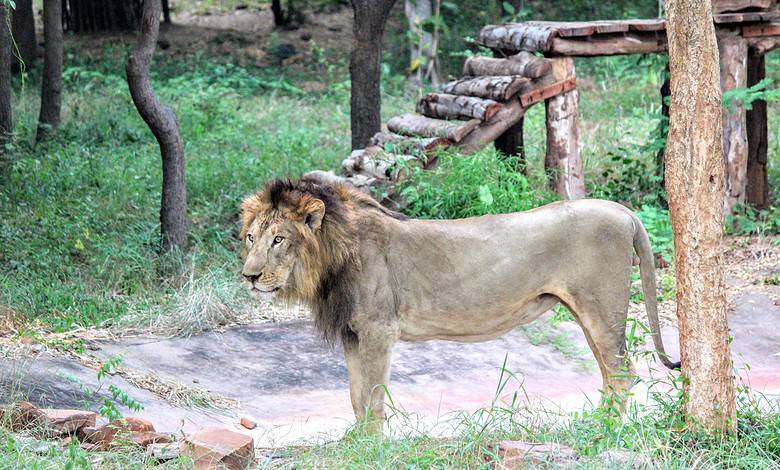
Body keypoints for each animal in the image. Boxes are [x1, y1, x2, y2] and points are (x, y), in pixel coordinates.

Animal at [239, 176, 679, 426]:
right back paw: (593, 423)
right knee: (609, 372)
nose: (249, 276)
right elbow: (355, 394)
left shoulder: (379, 331)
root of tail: (622, 210)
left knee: (622, 373)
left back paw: (605, 431)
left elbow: (375, 396)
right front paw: (357, 440)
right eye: (251, 237)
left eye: (279, 239)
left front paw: (374, 444)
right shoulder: (352, 333)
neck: (333, 258)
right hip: (586, 312)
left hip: (601, 308)